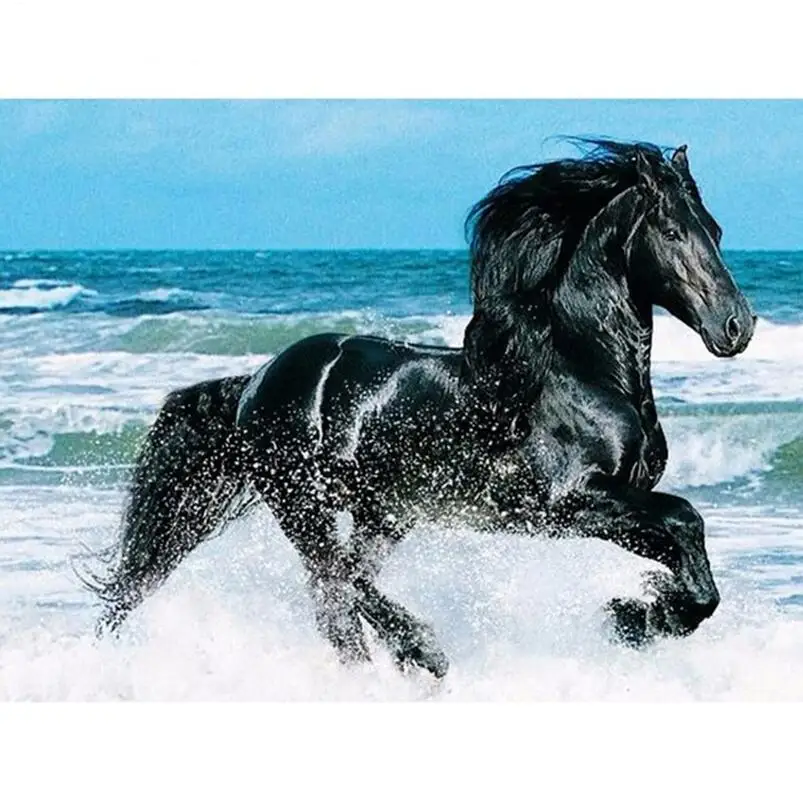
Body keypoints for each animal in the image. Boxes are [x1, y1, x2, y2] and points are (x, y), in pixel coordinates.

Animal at [85, 139, 755, 679]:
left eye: (717, 230)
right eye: (672, 232)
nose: (736, 327)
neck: (581, 371)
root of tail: (257, 382)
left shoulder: (617, 504)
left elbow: (687, 553)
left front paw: (639, 616)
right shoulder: (571, 503)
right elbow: (687, 520)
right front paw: (629, 617)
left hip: (385, 513)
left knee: (344, 585)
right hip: (305, 505)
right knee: (334, 582)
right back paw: (418, 652)